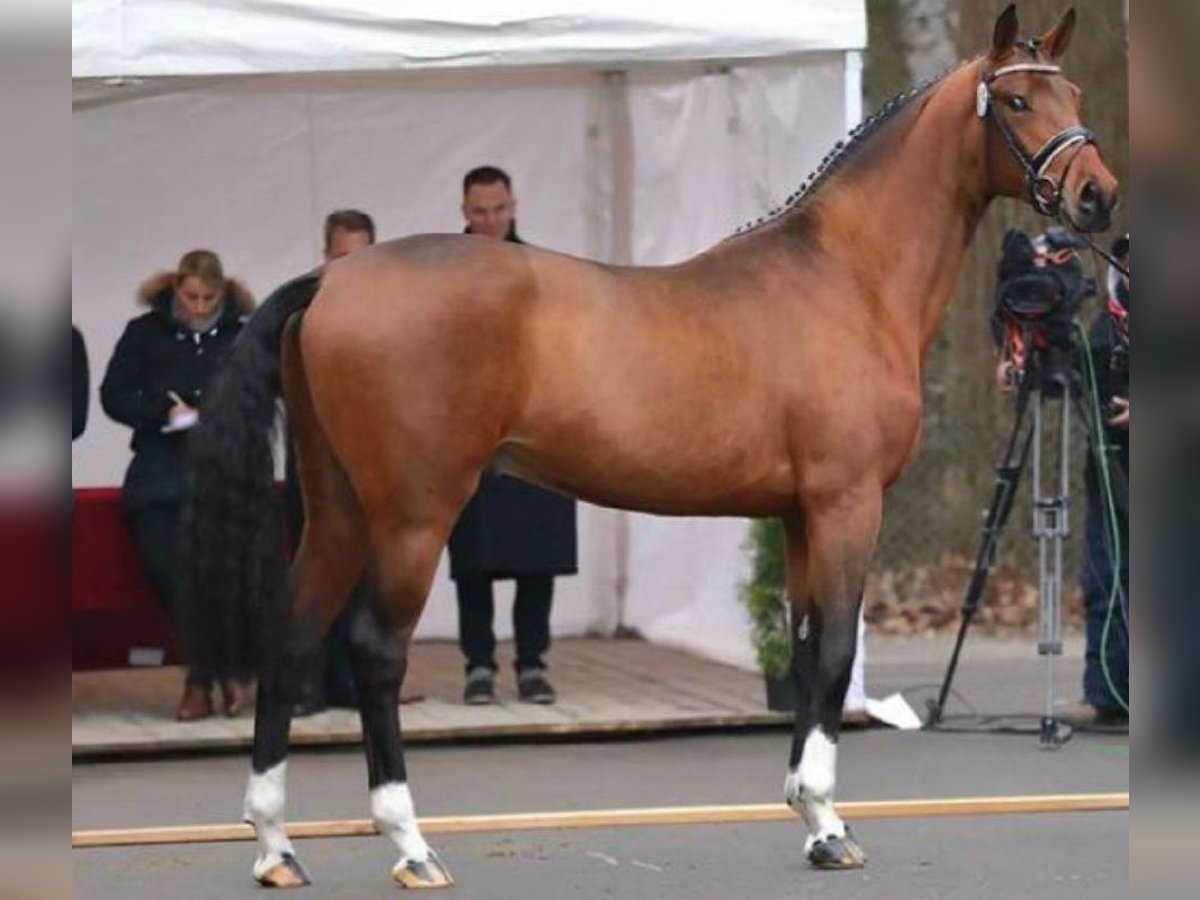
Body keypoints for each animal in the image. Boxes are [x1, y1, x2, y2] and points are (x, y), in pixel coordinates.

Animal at [184, 5, 1113, 897]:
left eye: (1073, 93)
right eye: (1018, 100)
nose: (1097, 195)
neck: (845, 279)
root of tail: (332, 280)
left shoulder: (797, 515)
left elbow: (805, 645)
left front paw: (811, 816)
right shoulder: (847, 504)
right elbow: (836, 651)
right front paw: (832, 829)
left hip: (337, 507)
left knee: (290, 636)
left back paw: (275, 846)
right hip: (413, 514)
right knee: (375, 651)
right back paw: (411, 847)